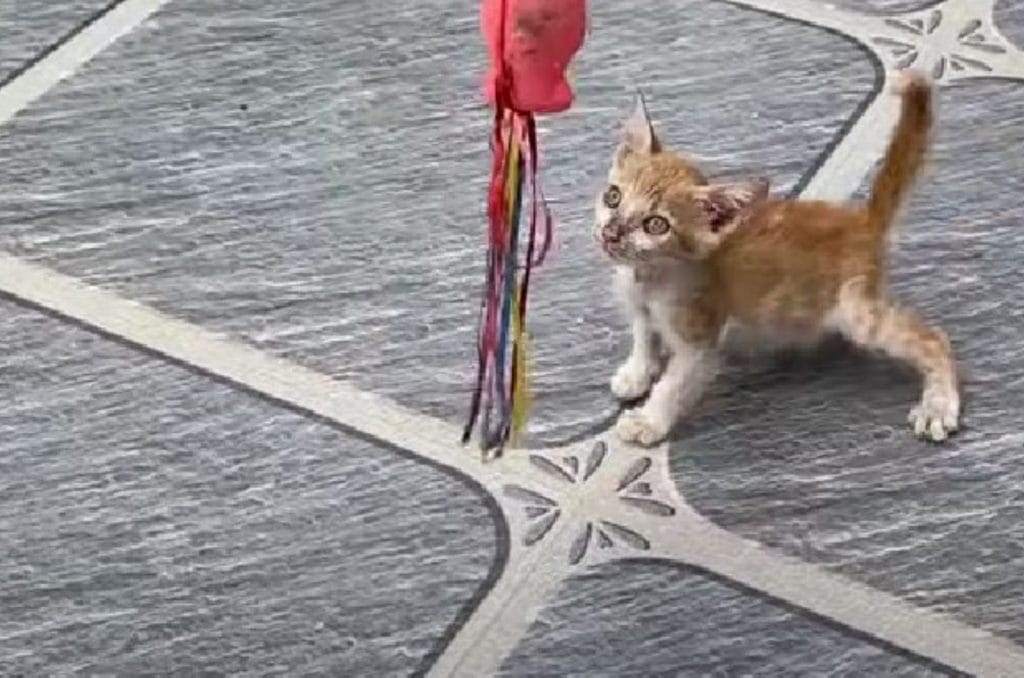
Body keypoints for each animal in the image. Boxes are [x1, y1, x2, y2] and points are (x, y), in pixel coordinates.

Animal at [594, 70, 960, 447]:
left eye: (656, 224)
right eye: (613, 197)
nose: (611, 232)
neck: (648, 277)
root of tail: (862, 219)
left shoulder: (699, 340)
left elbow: (672, 386)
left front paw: (648, 421)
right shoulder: (641, 307)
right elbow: (644, 336)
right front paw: (637, 372)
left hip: (857, 312)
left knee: (933, 339)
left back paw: (938, 405)